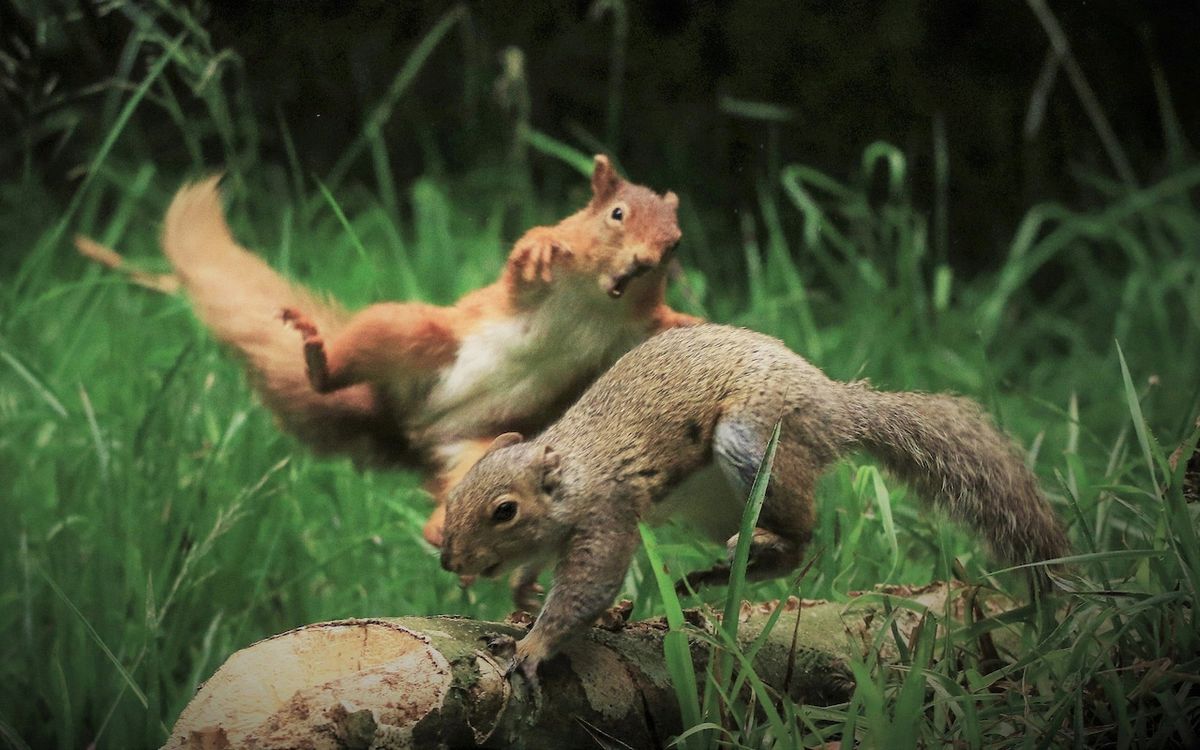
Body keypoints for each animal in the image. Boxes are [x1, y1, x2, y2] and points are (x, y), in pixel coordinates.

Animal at [152, 155, 700, 546]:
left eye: (674, 242)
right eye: (617, 214)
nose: (645, 260)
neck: (601, 298)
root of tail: (412, 427)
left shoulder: (637, 328)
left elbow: (668, 330)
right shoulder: (523, 289)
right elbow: (526, 259)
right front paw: (540, 247)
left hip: (479, 449)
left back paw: (441, 529)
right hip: (408, 333)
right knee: (339, 369)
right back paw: (318, 359)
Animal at [439, 324, 1070, 680]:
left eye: (504, 511)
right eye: (457, 494)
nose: (449, 561)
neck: (574, 475)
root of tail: (835, 406)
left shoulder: (609, 513)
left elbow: (587, 587)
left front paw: (534, 645)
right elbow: (536, 579)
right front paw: (526, 600)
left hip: (754, 444)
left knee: (805, 540)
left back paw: (755, 549)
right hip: (714, 505)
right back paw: (709, 578)